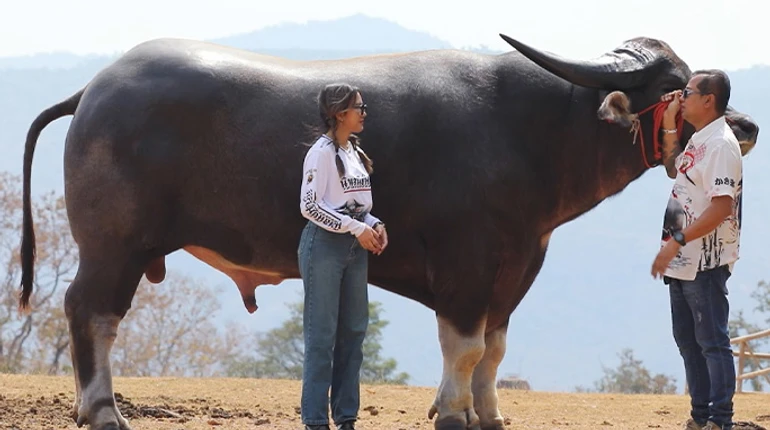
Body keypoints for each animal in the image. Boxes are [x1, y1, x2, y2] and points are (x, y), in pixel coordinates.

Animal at [16, 34, 756, 430]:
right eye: (677, 83)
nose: (745, 126)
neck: (527, 132)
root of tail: (94, 90)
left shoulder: (516, 268)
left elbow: (493, 351)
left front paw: (486, 413)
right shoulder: (467, 267)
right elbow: (463, 346)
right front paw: (452, 412)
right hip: (113, 247)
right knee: (91, 312)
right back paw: (101, 409)